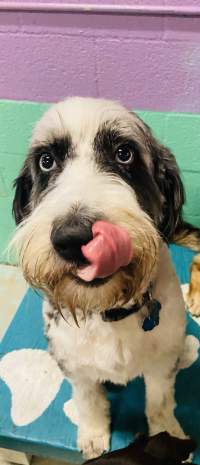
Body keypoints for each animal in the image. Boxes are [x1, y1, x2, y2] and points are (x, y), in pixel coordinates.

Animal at [10, 97, 197, 456]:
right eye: (46, 161)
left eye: (124, 153)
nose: (73, 237)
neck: (107, 309)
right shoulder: (75, 366)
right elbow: (89, 400)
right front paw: (94, 435)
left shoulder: (161, 362)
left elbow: (160, 402)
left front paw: (168, 435)